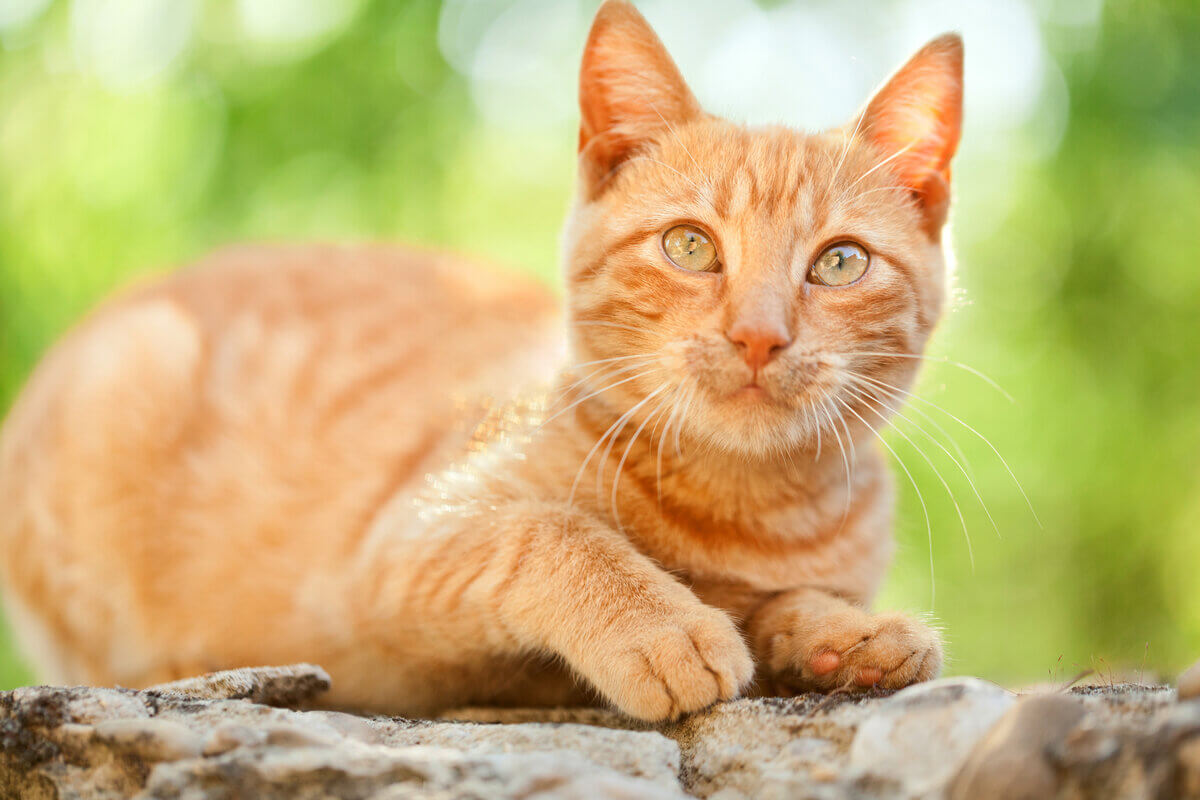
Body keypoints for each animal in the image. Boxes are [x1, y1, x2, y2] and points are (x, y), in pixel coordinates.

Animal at [0, 0, 960, 724]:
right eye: (690, 246)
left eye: (839, 263)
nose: (760, 335)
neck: (743, 511)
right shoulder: (400, 553)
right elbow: (550, 532)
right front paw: (663, 625)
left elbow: (785, 601)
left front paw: (849, 632)